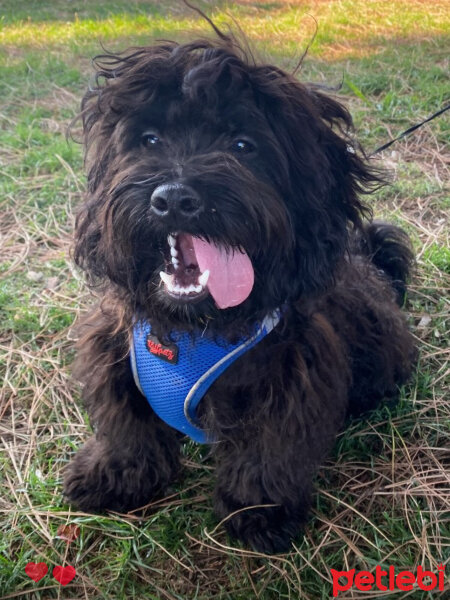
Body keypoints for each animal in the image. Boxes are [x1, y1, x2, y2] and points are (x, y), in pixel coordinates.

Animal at [65, 28, 416, 552]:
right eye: (149, 140)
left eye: (243, 144)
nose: (174, 199)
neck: (196, 327)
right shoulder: (113, 349)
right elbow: (123, 421)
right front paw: (115, 474)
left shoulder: (292, 373)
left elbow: (270, 448)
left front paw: (259, 511)